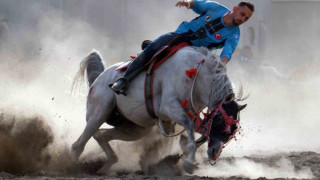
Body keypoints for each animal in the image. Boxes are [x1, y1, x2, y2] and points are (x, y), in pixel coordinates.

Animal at [71, 46, 248, 173]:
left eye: (233, 130)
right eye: (219, 120)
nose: (214, 153)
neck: (197, 76)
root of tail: (99, 78)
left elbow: (201, 134)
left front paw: (182, 154)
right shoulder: (169, 107)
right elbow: (190, 126)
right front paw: (189, 163)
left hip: (134, 128)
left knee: (100, 135)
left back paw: (106, 166)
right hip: (98, 113)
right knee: (78, 145)